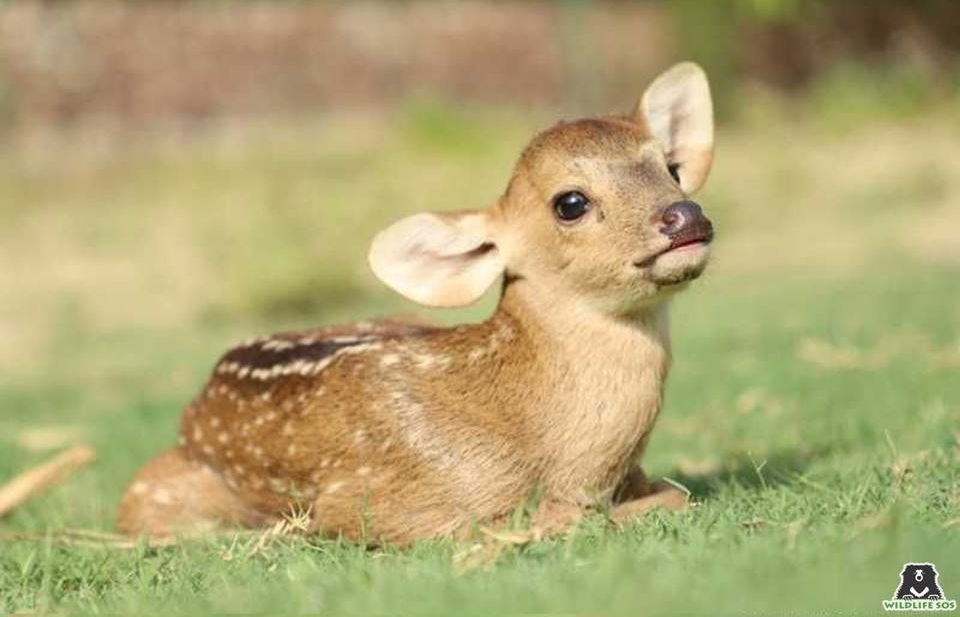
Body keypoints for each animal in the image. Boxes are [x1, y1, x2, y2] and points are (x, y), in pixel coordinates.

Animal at [118, 63, 712, 544]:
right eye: (570, 202)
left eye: (671, 169)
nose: (685, 216)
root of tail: (193, 407)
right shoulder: (376, 501)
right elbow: (571, 516)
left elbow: (675, 494)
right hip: (153, 494)